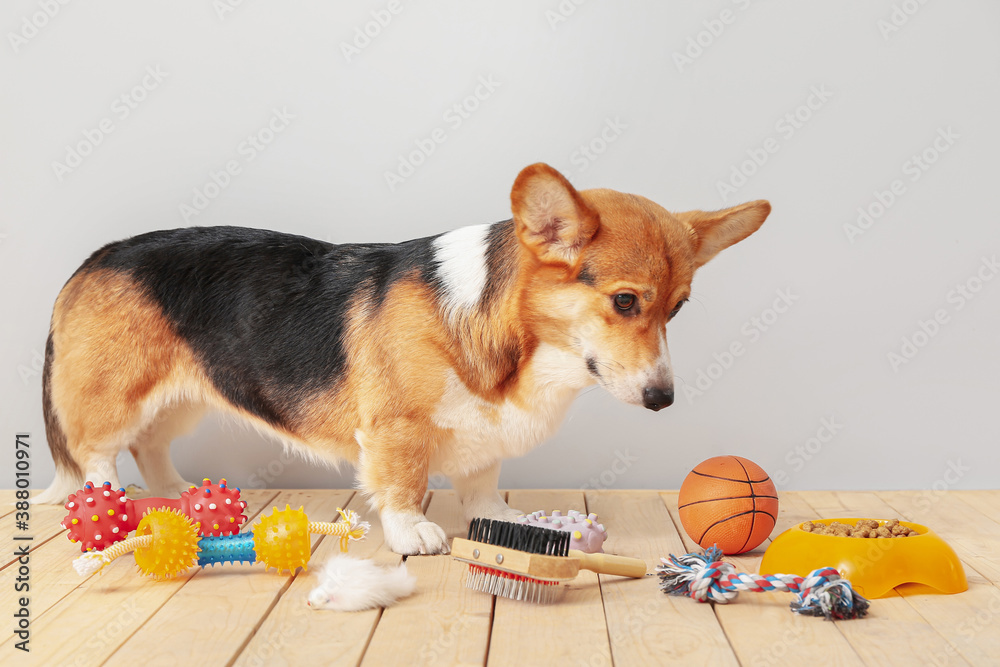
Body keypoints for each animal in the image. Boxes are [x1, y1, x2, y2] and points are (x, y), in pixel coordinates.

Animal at [39, 164, 768, 556]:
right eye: (624, 301)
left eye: (677, 309)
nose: (662, 399)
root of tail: (89, 261)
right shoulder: (397, 428)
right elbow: (403, 481)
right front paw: (414, 531)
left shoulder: (483, 438)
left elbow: (481, 483)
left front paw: (500, 516)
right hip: (119, 395)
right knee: (99, 453)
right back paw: (112, 506)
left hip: (184, 396)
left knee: (151, 446)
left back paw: (173, 492)